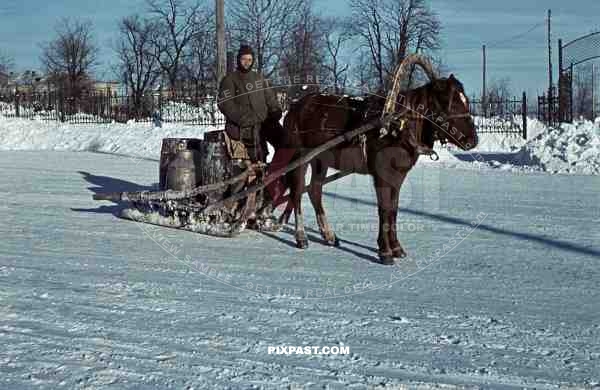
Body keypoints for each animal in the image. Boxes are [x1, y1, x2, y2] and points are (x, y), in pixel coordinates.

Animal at [262, 54, 478, 266]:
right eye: (450, 103)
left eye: (465, 101)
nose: (473, 140)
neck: (399, 125)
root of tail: (295, 107)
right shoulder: (382, 174)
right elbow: (383, 209)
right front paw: (385, 251)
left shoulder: (398, 176)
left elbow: (393, 209)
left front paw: (396, 247)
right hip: (299, 156)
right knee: (297, 192)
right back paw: (301, 237)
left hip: (320, 160)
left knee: (315, 191)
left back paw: (329, 235)